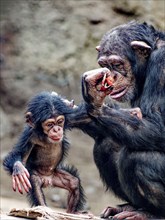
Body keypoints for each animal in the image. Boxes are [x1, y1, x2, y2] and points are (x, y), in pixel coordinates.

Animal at [69, 21, 165, 220]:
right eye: (104, 65)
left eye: (117, 64)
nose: (111, 76)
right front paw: (76, 113)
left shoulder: (162, 64)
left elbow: (158, 126)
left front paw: (93, 99)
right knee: (106, 143)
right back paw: (128, 208)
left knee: (138, 159)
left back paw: (152, 214)